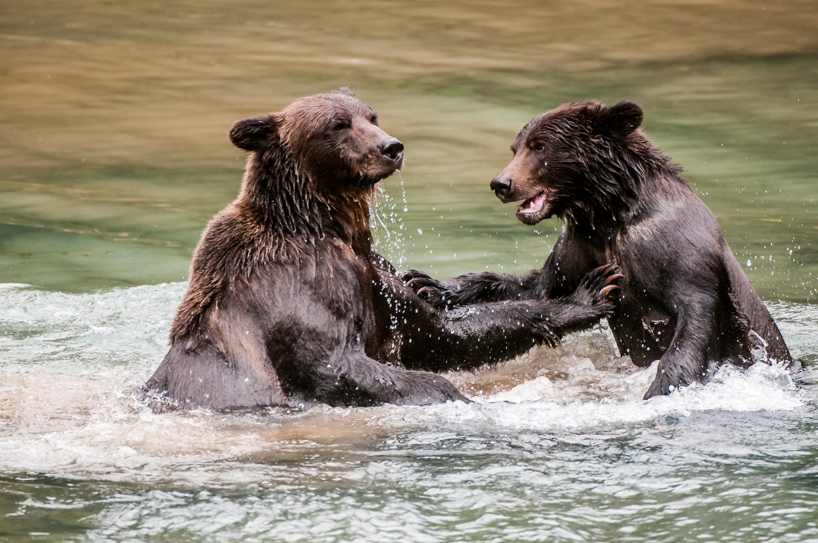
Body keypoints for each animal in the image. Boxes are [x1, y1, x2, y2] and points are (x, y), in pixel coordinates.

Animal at [144, 90, 622, 411]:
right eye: (337, 124)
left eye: (371, 115)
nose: (391, 146)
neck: (323, 224)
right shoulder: (308, 284)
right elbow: (334, 365)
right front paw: (587, 295)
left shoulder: (374, 280)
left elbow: (439, 332)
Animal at [403, 100, 793, 399]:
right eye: (517, 147)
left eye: (540, 146)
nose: (502, 183)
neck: (609, 212)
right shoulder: (581, 245)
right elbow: (538, 287)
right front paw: (429, 285)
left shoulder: (673, 246)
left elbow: (695, 313)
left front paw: (661, 387)